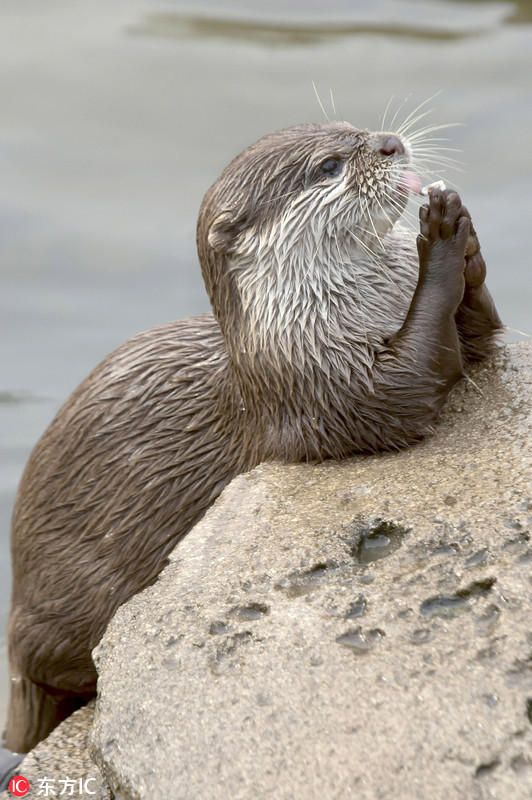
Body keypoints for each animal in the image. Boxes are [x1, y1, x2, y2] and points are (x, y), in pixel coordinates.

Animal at [5, 122, 502, 752]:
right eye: (330, 165)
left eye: (356, 129)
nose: (390, 143)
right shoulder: (326, 384)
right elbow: (415, 380)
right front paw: (438, 238)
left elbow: (479, 336)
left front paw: (464, 233)